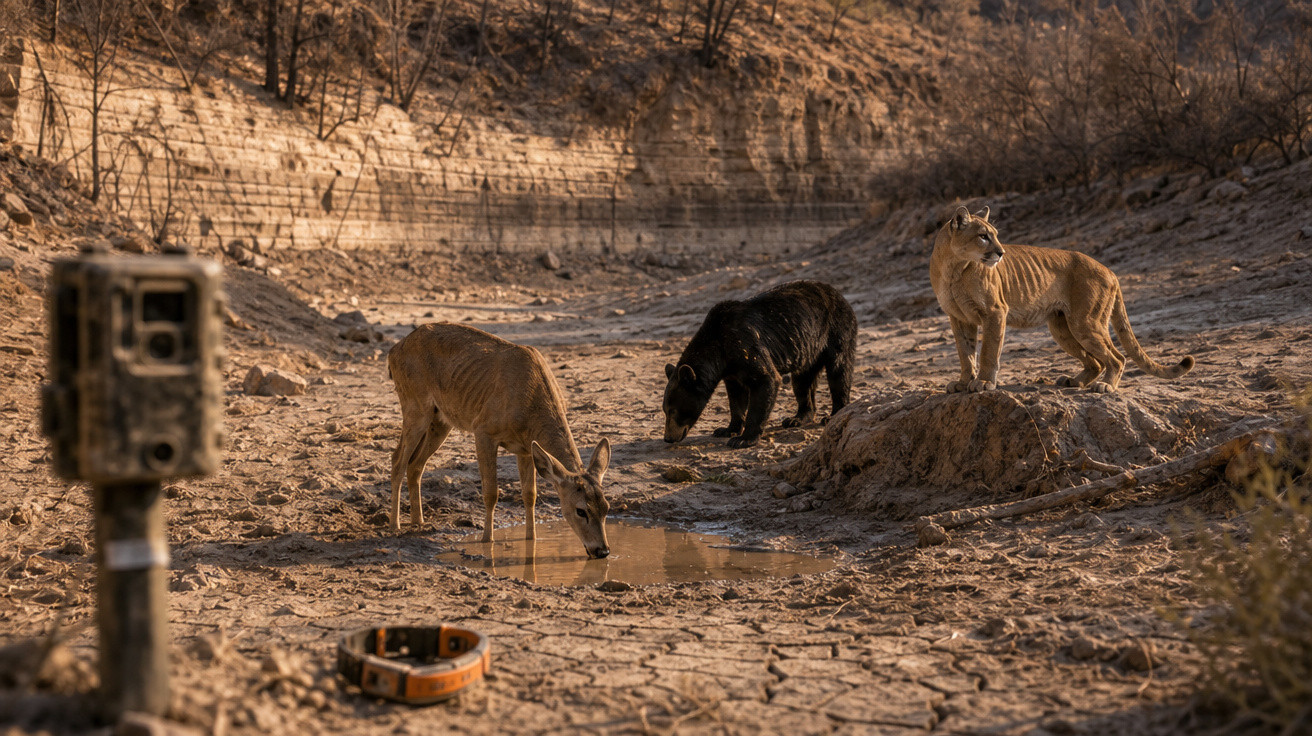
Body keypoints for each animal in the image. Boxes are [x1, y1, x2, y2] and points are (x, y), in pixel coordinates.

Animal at [662, 280, 857, 448]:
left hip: (836, 330)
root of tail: (838, 294)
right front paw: (727, 429)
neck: (719, 350)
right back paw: (797, 418)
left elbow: (766, 380)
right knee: (802, 382)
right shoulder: (731, 369)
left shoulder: (745, 345)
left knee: (839, 371)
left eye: (673, 410)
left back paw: (834, 415)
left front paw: (744, 439)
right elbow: (736, 396)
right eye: (665, 410)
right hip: (809, 351)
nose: (668, 438)